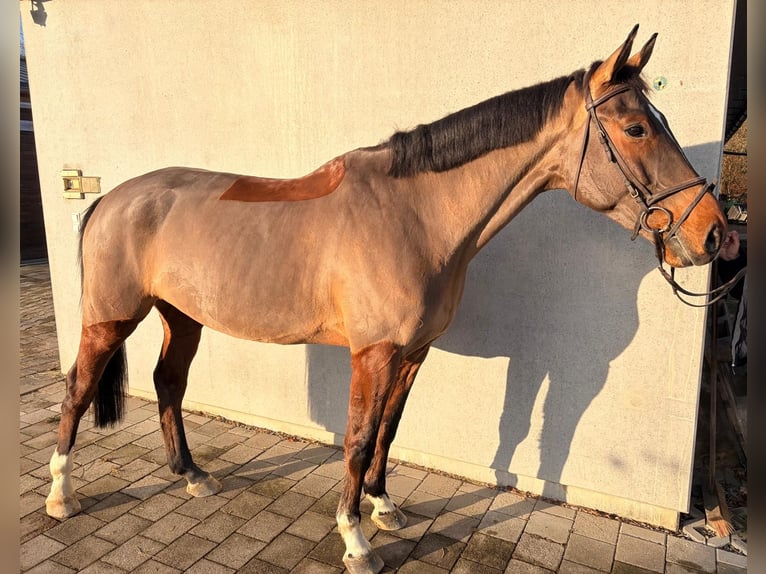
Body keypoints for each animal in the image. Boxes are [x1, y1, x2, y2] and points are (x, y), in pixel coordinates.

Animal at [45, 25, 726, 573]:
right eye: (636, 128)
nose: (713, 233)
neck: (414, 214)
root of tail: (110, 198)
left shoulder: (413, 352)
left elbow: (389, 430)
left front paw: (383, 507)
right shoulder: (372, 354)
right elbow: (356, 437)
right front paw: (355, 541)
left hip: (182, 317)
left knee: (168, 383)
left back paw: (191, 476)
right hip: (109, 319)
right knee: (78, 388)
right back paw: (60, 495)